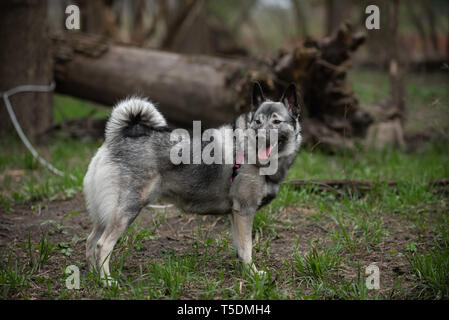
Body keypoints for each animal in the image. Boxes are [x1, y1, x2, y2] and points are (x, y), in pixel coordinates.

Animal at [84, 82, 300, 284]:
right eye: (257, 122)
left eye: (276, 121)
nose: (259, 136)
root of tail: (118, 136)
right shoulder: (244, 211)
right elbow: (247, 249)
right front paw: (253, 275)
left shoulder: (236, 214)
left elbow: (240, 247)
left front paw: (244, 272)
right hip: (127, 209)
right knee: (102, 245)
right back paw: (107, 282)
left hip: (107, 213)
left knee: (90, 241)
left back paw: (93, 277)